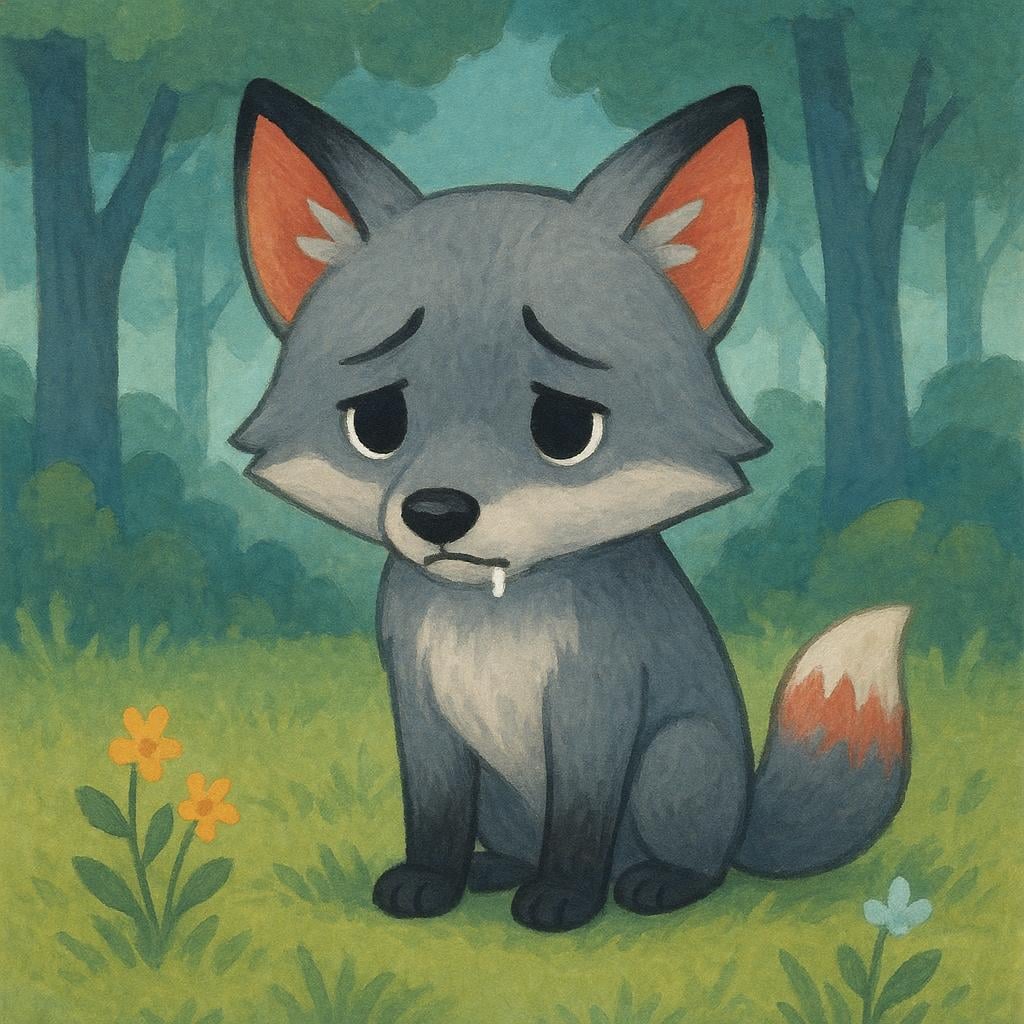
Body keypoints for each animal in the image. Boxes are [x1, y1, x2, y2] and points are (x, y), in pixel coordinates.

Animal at [229, 78, 912, 932]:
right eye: (378, 423)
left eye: (565, 428)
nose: (438, 512)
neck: (493, 619)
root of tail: (748, 816)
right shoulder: (421, 708)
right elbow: (434, 815)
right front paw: (429, 883)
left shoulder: (598, 699)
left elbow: (582, 824)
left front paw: (563, 900)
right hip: (508, 796)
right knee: (520, 838)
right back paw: (495, 870)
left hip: (680, 760)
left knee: (699, 864)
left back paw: (656, 882)